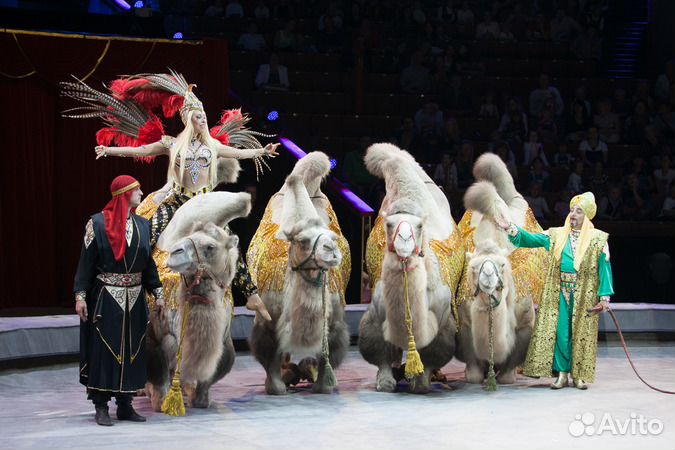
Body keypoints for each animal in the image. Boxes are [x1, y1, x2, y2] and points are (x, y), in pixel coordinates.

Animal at [145, 192, 251, 410]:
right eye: (187, 238)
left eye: (210, 246)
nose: (175, 253)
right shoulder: (157, 336)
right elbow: (158, 370)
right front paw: (162, 402)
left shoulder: (221, 343)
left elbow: (211, 372)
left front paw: (200, 399)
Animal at [250, 153, 354, 396]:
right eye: (302, 240)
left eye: (331, 237)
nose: (330, 251)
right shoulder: (266, 321)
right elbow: (270, 355)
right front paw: (276, 385)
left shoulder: (334, 324)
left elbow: (327, 354)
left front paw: (322, 383)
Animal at [360, 144, 460, 394]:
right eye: (389, 224)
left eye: (419, 226)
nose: (403, 240)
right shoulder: (377, 318)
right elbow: (382, 352)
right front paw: (387, 379)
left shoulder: (440, 324)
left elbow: (429, 357)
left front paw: (420, 380)